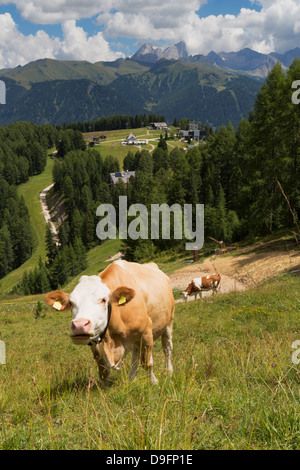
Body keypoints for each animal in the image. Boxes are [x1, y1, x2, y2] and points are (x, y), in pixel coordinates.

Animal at [45, 258, 175, 384]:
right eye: (71, 303)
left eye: (103, 299)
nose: (79, 325)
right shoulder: (95, 343)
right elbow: (103, 371)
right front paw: (105, 387)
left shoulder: (146, 332)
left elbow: (147, 363)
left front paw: (154, 382)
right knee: (135, 355)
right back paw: (131, 379)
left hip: (168, 322)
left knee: (167, 348)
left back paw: (169, 372)